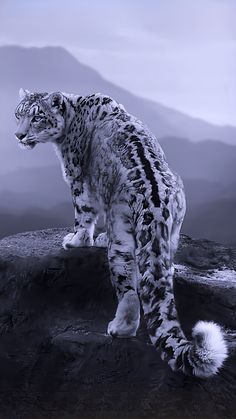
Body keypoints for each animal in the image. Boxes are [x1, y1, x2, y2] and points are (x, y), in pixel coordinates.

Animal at [14, 88, 227, 378]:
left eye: (37, 117)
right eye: (18, 114)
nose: (19, 135)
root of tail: (155, 202)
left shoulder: (78, 178)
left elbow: (83, 211)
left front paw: (76, 240)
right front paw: (96, 237)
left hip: (122, 235)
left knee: (128, 286)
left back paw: (119, 327)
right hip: (173, 230)